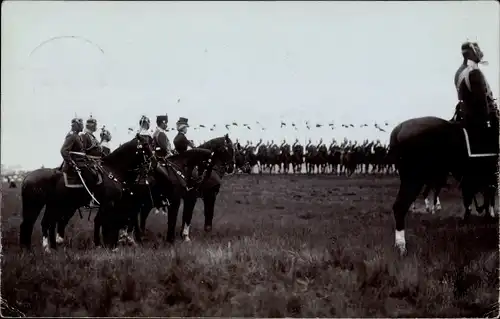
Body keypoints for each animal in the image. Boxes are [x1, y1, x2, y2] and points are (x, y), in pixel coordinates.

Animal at [19, 135, 153, 252]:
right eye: (146, 145)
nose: (153, 161)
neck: (113, 170)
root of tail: (26, 178)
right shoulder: (109, 203)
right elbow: (104, 222)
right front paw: (105, 245)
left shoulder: (113, 205)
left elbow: (104, 222)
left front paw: (107, 245)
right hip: (37, 205)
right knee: (31, 224)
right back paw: (39, 249)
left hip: (53, 206)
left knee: (42, 223)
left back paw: (39, 248)